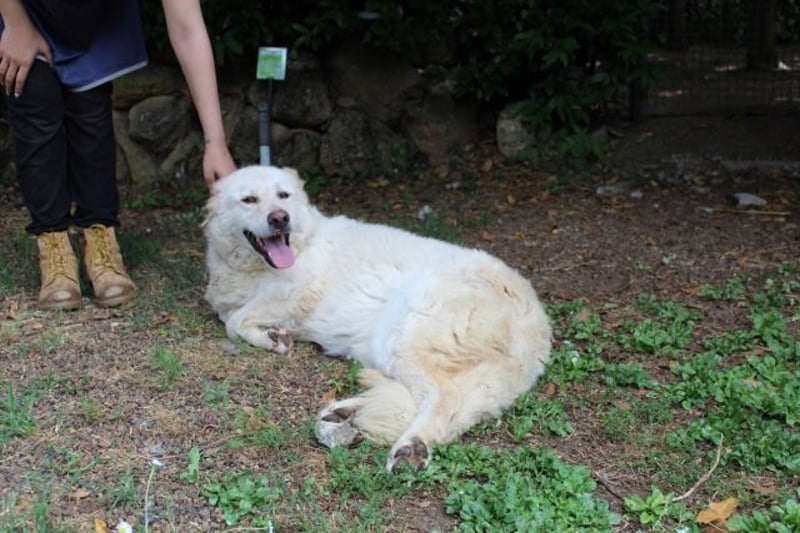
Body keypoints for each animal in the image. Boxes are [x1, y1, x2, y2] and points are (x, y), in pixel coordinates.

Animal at [203, 166, 552, 471]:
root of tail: (532, 321)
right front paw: (271, 334)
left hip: (401, 336)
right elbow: (229, 315)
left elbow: (235, 322)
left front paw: (272, 337)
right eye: (249, 199)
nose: (280, 218)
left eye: (283, 195)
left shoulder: (296, 292)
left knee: (443, 395)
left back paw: (411, 447)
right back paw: (346, 412)